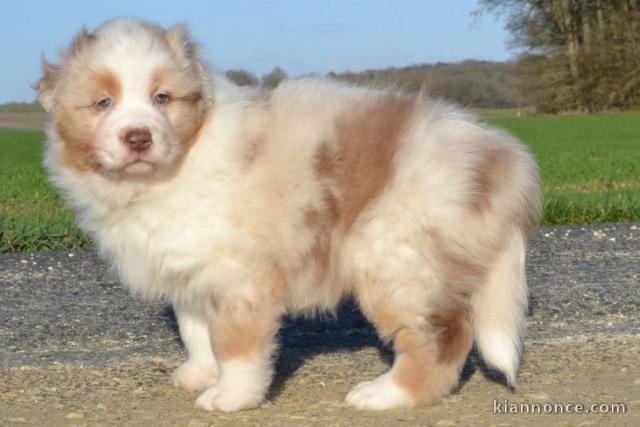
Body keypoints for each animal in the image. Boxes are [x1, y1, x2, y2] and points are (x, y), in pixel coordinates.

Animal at [35, 18, 540, 412]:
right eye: (103, 102)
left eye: (162, 98)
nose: (138, 137)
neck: (169, 171)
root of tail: (500, 157)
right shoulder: (189, 270)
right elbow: (196, 331)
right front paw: (199, 374)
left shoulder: (239, 276)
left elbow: (236, 345)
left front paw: (230, 396)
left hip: (398, 258)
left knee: (443, 336)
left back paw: (384, 395)